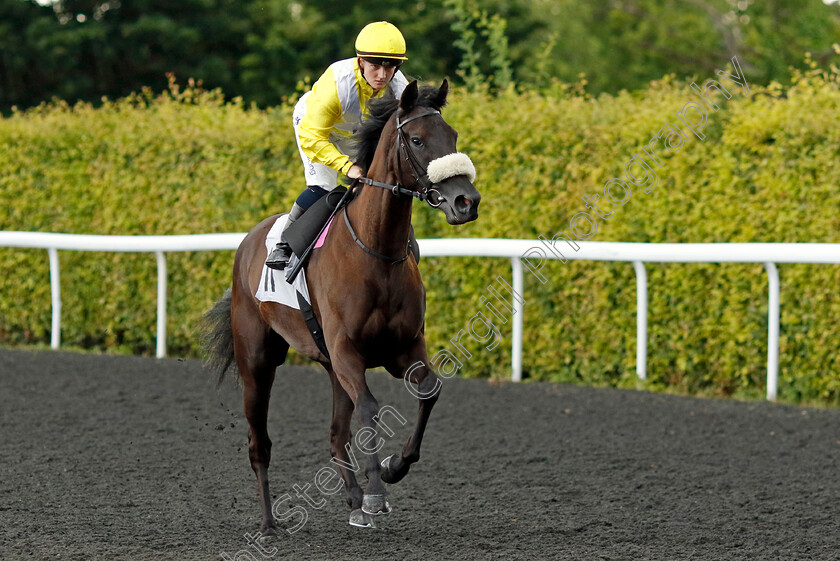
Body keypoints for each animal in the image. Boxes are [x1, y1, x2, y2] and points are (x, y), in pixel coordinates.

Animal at [201, 80, 482, 532]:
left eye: (453, 136)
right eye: (417, 140)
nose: (466, 202)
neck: (375, 253)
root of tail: (248, 242)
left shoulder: (403, 348)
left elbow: (429, 391)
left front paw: (391, 468)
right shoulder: (348, 351)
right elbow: (369, 409)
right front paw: (376, 493)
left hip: (330, 367)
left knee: (335, 434)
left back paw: (352, 499)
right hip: (258, 361)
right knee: (259, 442)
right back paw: (269, 522)